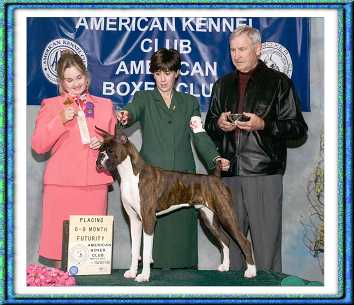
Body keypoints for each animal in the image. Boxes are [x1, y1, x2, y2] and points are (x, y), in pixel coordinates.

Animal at [96, 124, 258, 282]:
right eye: (100, 150)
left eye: (110, 151)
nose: (99, 158)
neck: (131, 174)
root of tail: (216, 177)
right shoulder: (134, 220)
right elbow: (135, 250)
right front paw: (132, 272)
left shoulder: (148, 219)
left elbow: (146, 251)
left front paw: (144, 276)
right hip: (209, 218)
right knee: (225, 240)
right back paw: (225, 266)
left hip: (226, 214)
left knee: (244, 241)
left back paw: (251, 271)